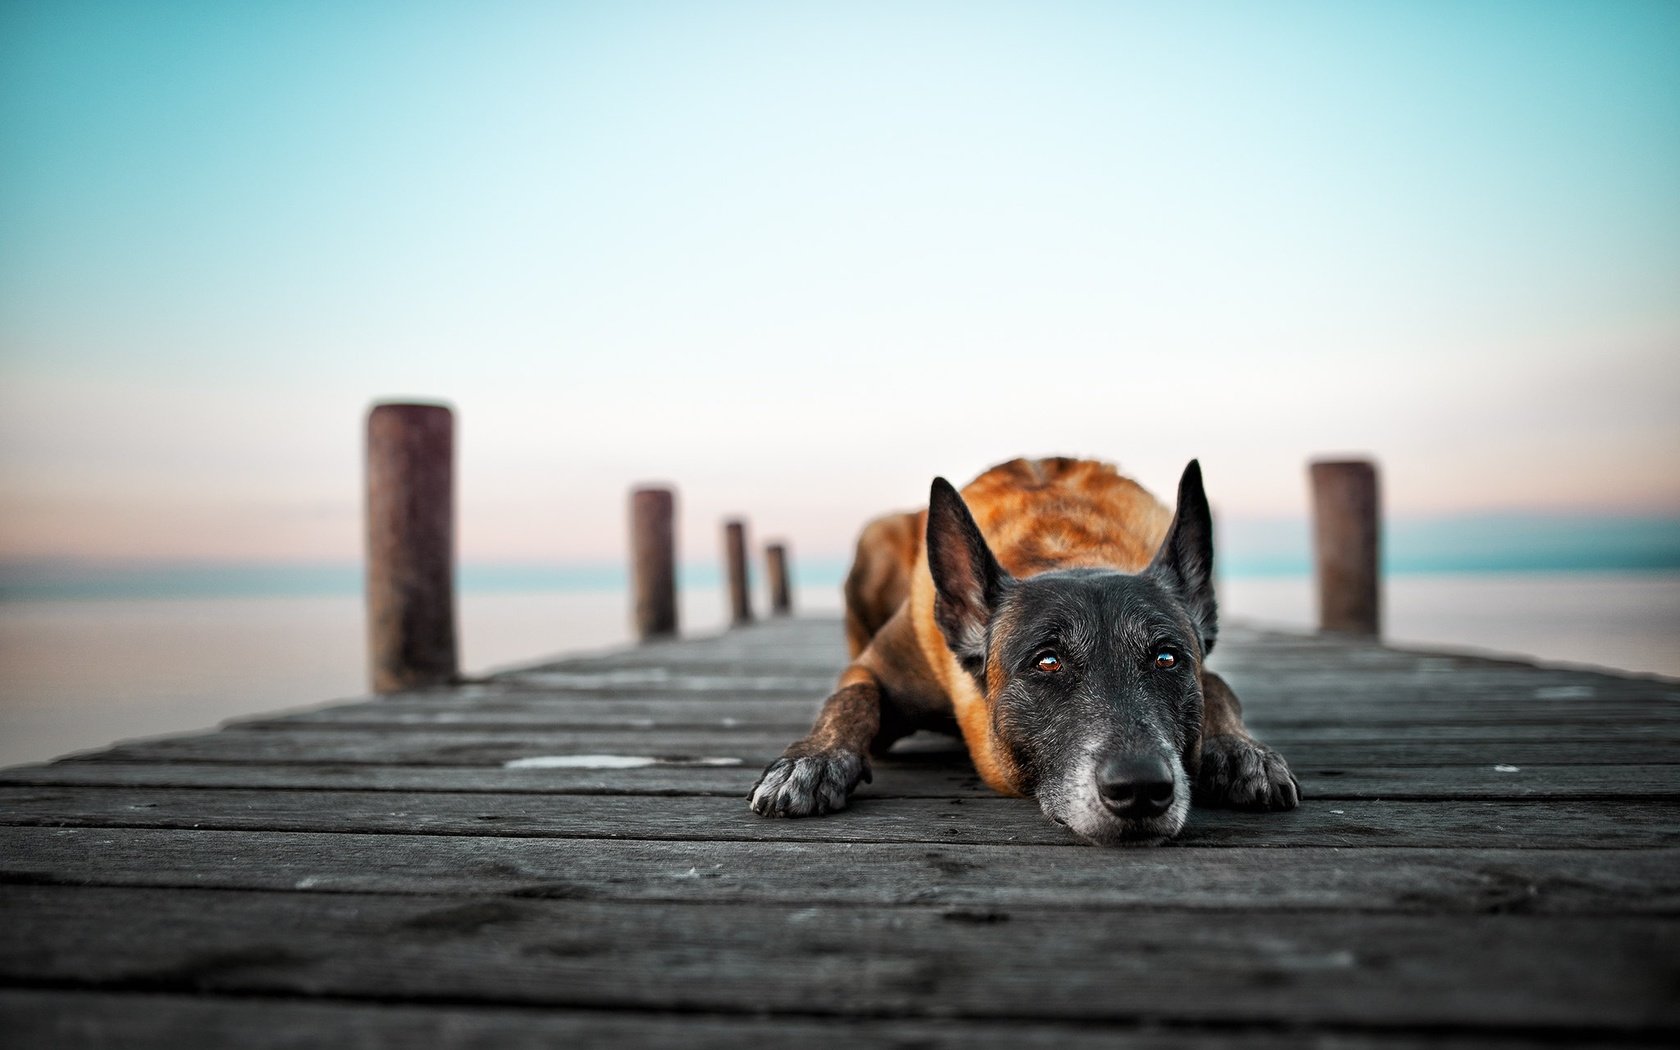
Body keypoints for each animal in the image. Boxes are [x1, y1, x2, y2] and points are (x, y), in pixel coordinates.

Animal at [749, 456, 1296, 843]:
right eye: (1047, 662)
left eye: (1167, 659)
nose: (1141, 788)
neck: (1063, 550)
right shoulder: (873, 669)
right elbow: (852, 698)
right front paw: (812, 760)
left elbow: (1218, 684)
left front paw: (1242, 752)